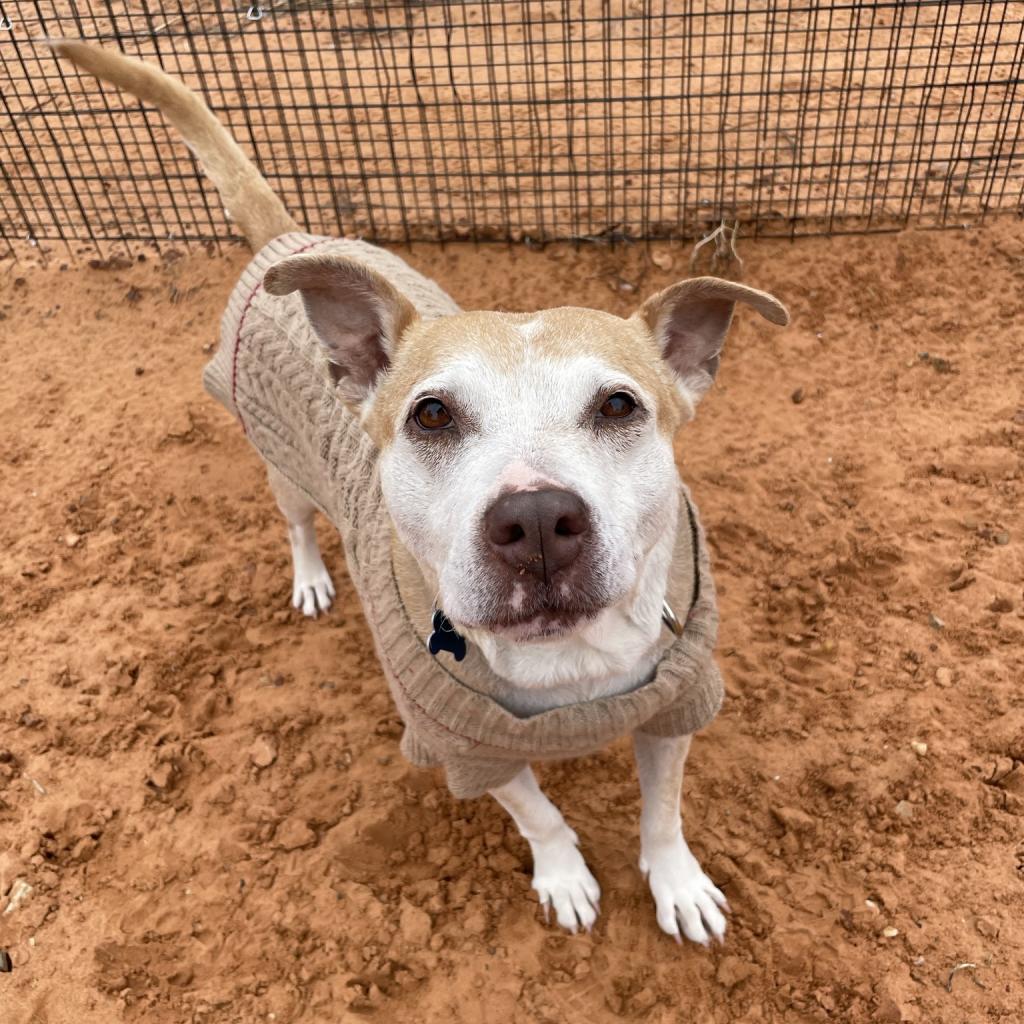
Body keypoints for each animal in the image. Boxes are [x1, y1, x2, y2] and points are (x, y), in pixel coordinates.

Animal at [44, 39, 786, 942]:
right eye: (432, 414)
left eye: (619, 406)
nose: (537, 518)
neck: (567, 666)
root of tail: (288, 238)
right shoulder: (460, 747)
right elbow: (540, 815)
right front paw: (566, 877)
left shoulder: (678, 706)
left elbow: (665, 810)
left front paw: (678, 884)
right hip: (281, 464)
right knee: (296, 524)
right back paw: (311, 578)